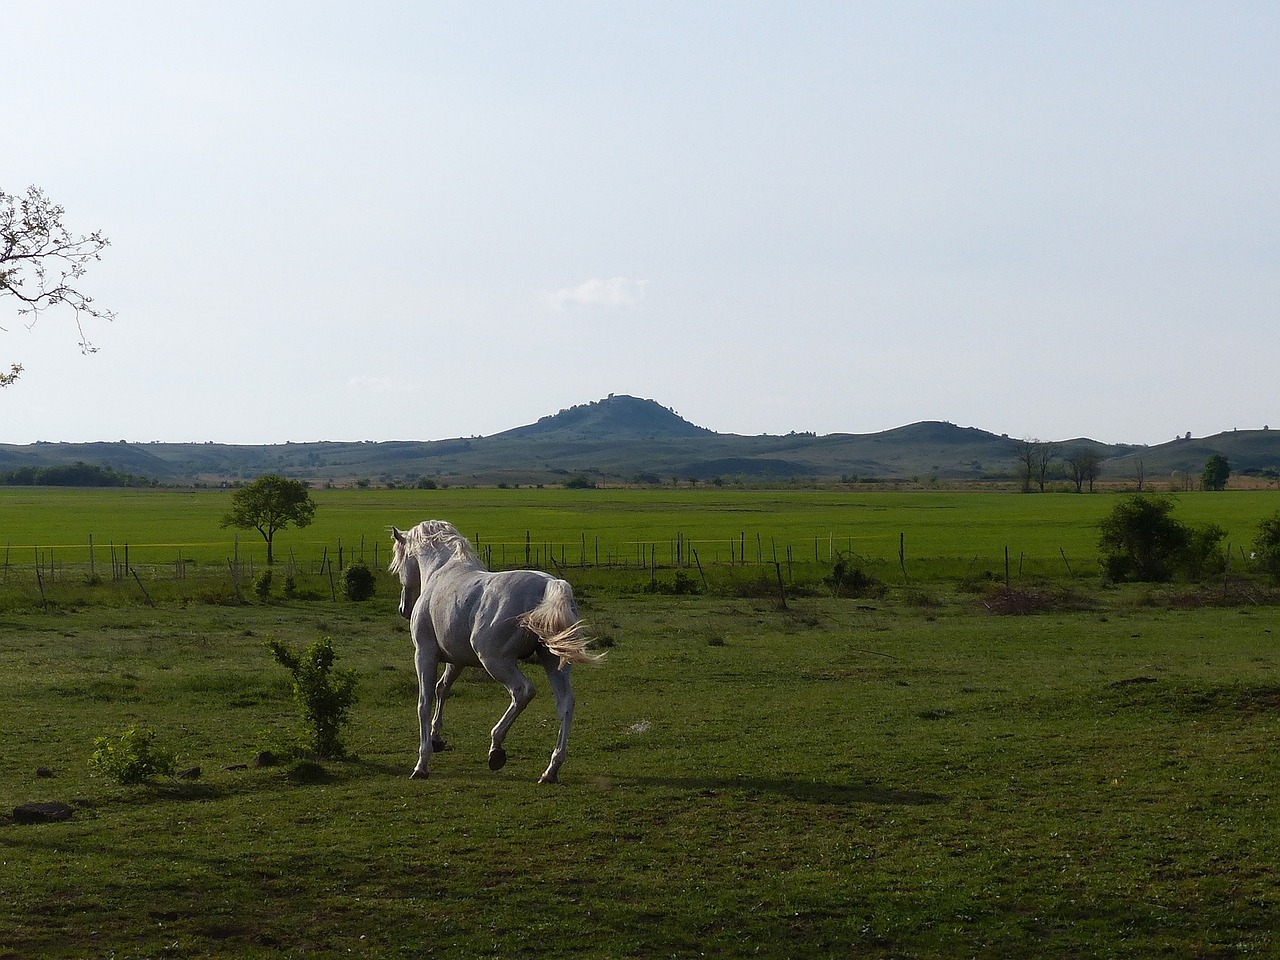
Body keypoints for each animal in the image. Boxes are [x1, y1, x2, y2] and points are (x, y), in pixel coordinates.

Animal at [386, 522, 601, 783]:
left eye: (400, 562)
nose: (403, 609)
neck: (441, 572)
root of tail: (548, 586)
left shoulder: (425, 654)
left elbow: (424, 702)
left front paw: (421, 764)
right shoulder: (456, 660)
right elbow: (442, 689)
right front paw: (437, 739)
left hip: (496, 661)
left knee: (523, 692)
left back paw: (496, 749)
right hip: (553, 661)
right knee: (565, 704)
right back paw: (551, 769)